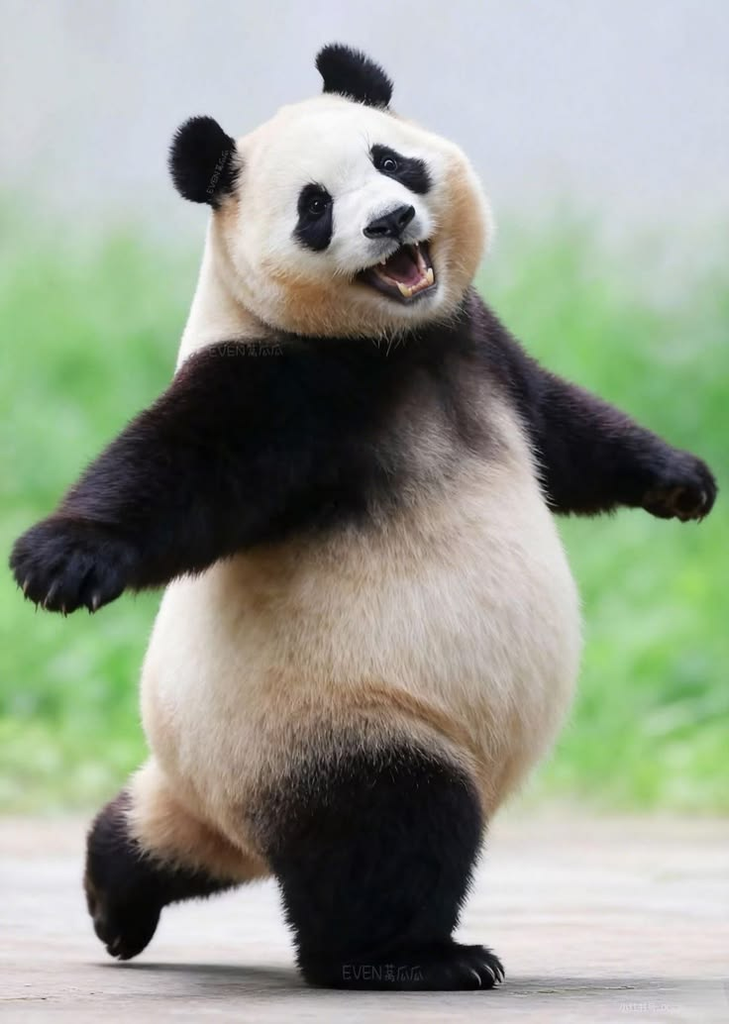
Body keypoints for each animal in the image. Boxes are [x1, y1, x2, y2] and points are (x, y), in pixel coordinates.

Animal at [10, 44, 716, 991]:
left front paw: (682, 482)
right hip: (335, 717)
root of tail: (220, 798)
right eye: (315, 206)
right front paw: (62, 560)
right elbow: (181, 468)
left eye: (391, 161)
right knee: (387, 828)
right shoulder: (283, 377)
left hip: (227, 770)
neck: (391, 342)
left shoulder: (477, 343)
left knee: (165, 838)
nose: (389, 221)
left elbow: (566, 433)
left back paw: (113, 897)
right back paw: (409, 957)